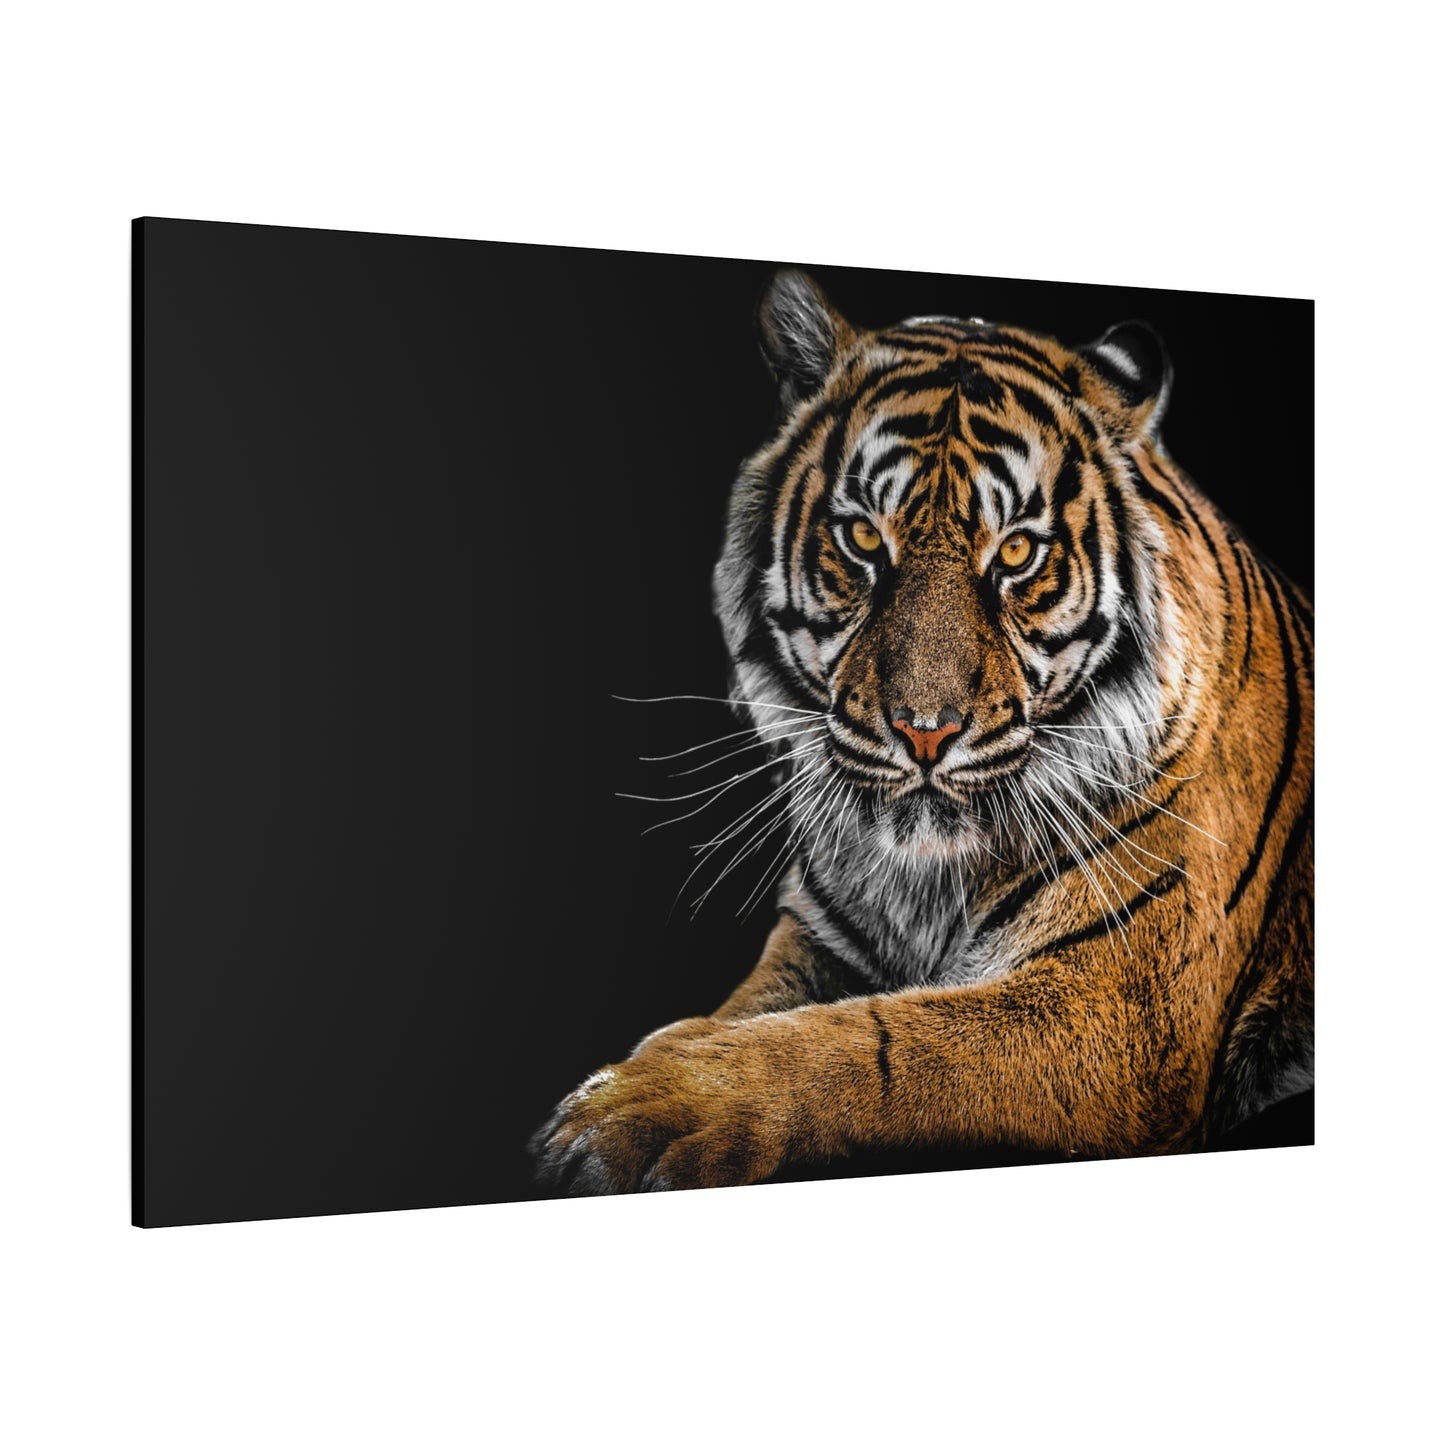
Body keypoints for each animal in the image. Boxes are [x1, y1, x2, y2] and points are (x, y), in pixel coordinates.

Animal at [531, 268, 1314, 1195]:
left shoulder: (1118, 1004)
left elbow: (871, 1042)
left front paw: (639, 1104)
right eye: (863, 537)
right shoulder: (816, 938)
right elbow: (753, 1011)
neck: (925, 881)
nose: (924, 731)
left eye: (1014, 553)